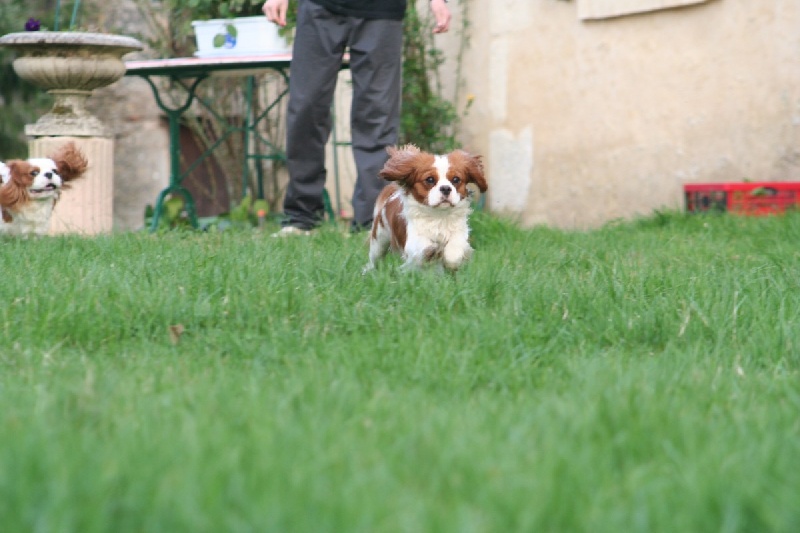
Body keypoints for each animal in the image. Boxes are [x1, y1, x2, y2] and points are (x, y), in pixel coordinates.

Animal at [364, 143, 488, 272]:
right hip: (379, 239)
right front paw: (431, 251)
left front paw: (449, 261)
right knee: (374, 259)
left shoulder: (459, 233)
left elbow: (454, 251)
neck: (439, 215)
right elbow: (422, 245)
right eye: (430, 179)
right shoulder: (412, 240)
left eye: (456, 179)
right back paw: (369, 271)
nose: (445, 188)